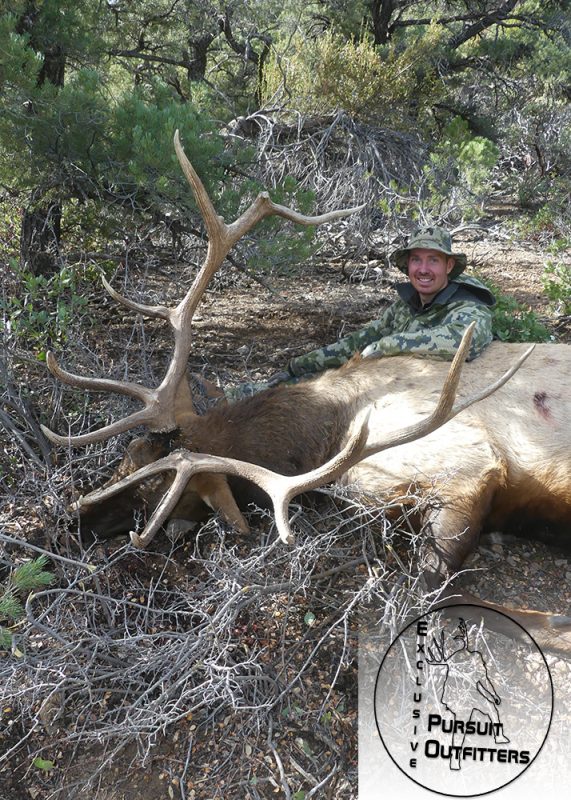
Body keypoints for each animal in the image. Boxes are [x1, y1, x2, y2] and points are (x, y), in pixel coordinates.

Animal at [42, 133, 571, 656]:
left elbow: (430, 592)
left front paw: (555, 623)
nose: (68, 521)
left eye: (156, 490)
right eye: (127, 458)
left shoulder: (469, 472)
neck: (331, 425)